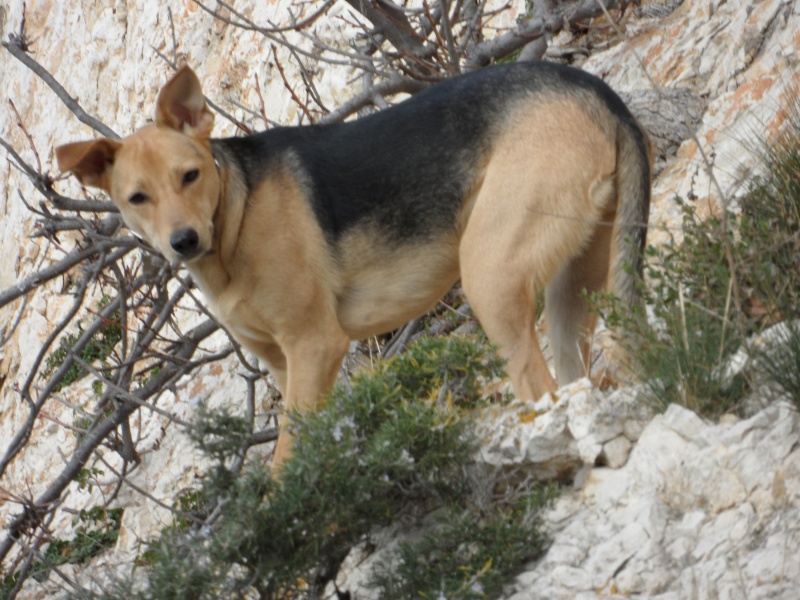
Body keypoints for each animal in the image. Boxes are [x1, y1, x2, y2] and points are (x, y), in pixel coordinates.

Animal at [56, 64, 648, 468]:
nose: (183, 241)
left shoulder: (316, 344)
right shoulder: (287, 363)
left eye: (190, 176)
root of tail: (594, 90)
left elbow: (283, 463)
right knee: (576, 379)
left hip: (490, 278)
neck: (235, 220)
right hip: (572, 293)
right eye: (137, 198)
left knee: (539, 385)